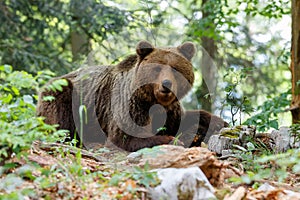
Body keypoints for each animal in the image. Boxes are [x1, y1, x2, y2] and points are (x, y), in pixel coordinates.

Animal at [37, 41, 227, 152]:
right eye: (157, 68)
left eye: (175, 68)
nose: (166, 84)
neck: (154, 101)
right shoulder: (130, 106)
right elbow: (126, 136)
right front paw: (172, 140)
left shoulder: (170, 110)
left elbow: (187, 118)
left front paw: (218, 122)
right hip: (66, 94)